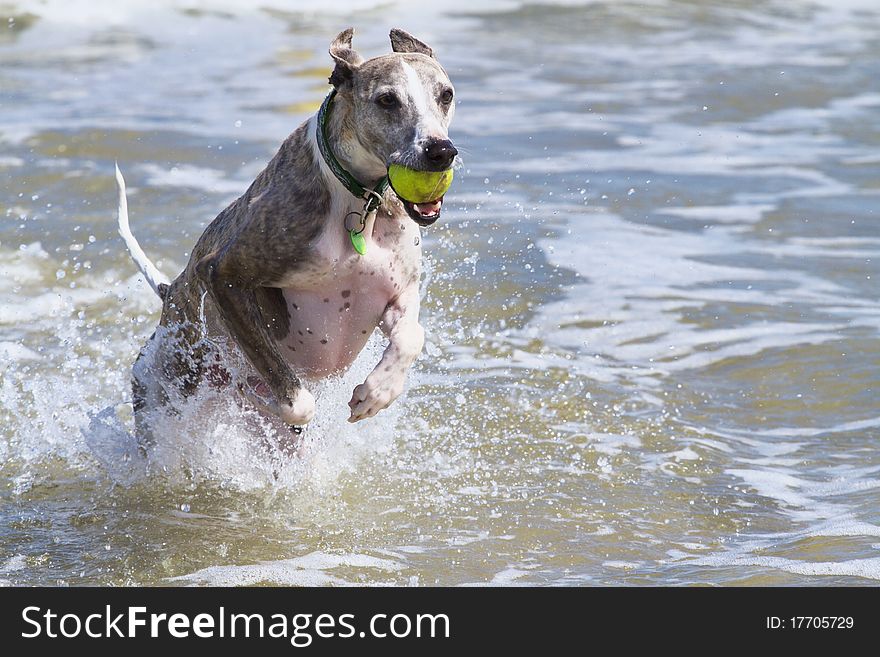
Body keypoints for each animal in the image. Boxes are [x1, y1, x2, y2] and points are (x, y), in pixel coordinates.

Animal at [116, 29, 458, 440]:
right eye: (387, 99)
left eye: (446, 94)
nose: (441, 151)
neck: (358, 201)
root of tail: (169, 294)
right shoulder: (224, 275)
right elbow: (297, 403)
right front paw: (262, 394)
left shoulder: (397, 293)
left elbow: (411, 335)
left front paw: (377, 392)